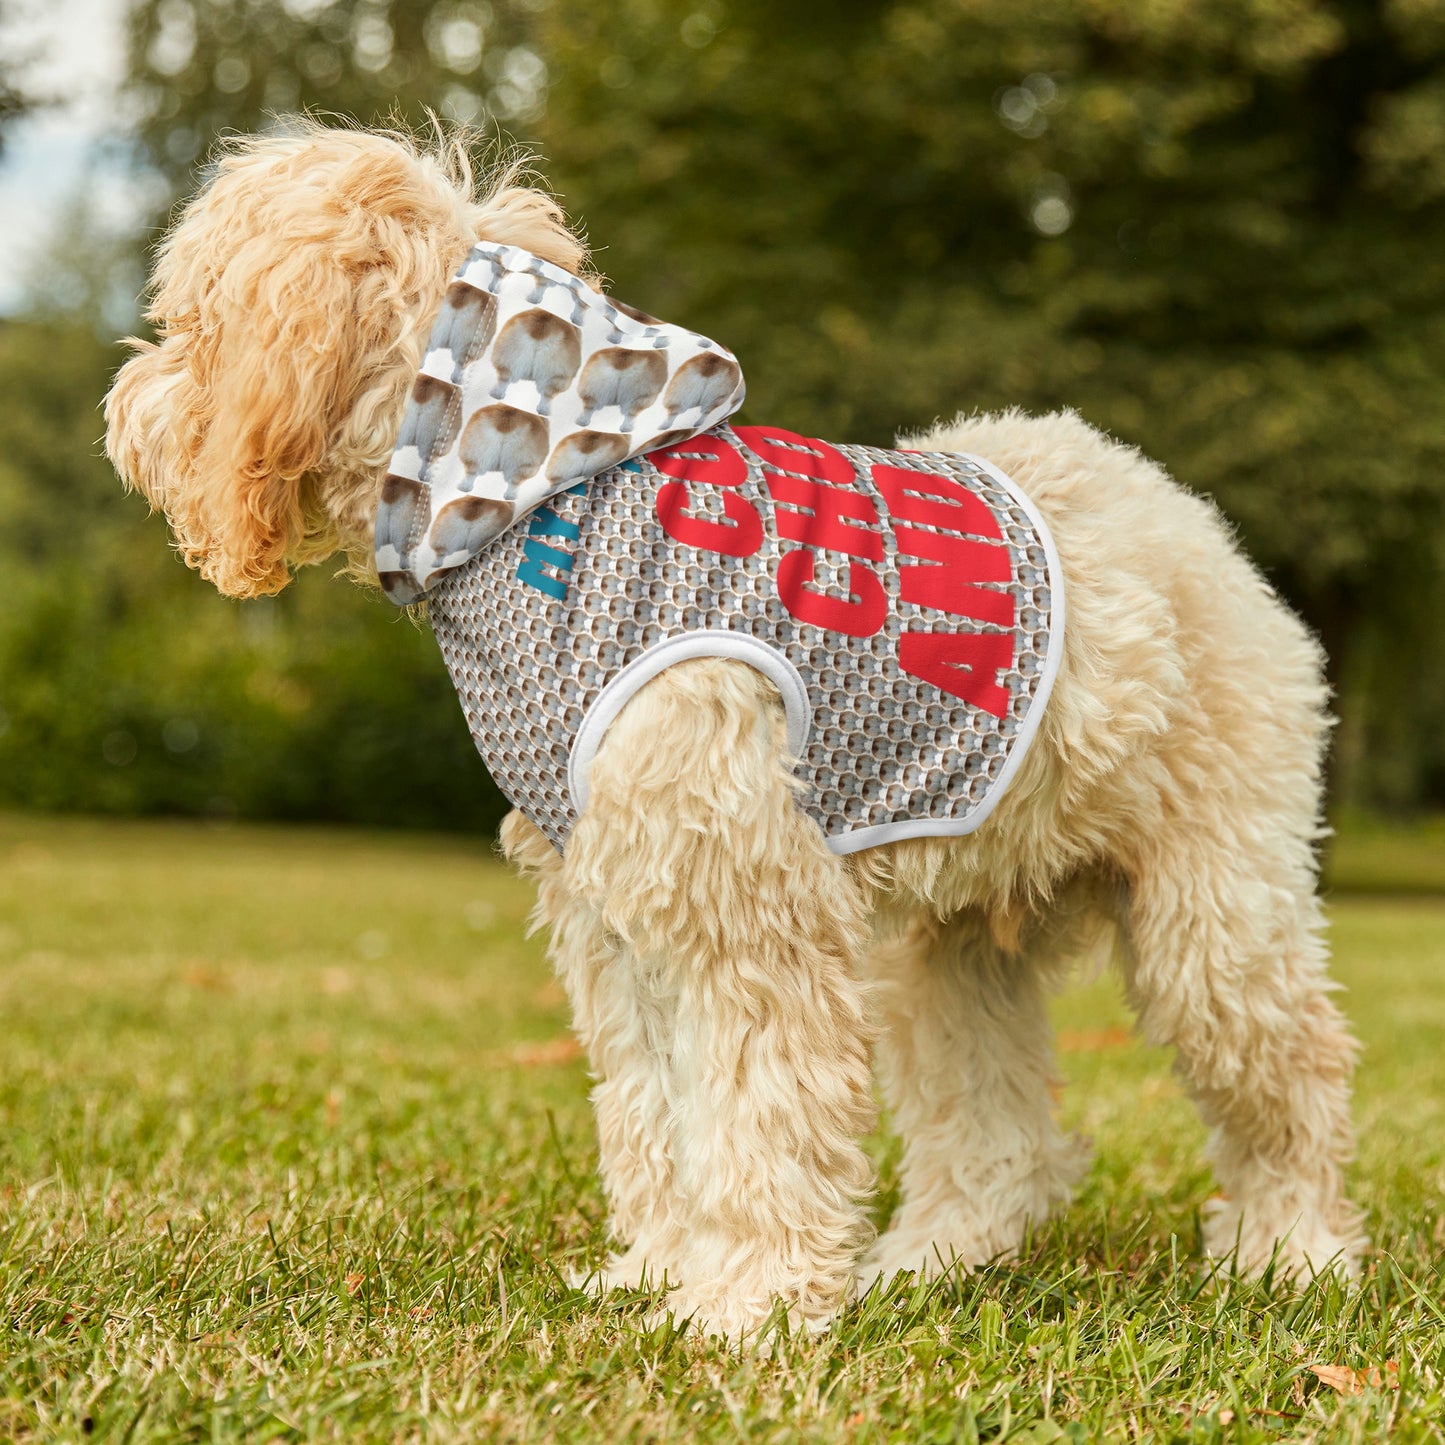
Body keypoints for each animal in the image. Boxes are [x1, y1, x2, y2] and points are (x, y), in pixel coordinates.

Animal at [106, 124, 1358, 1340]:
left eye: (190, 323)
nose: (123, 408)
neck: (541, 494)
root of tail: (1188, 519)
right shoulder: (618, 910)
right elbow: (655, 1111)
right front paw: (660, 1273)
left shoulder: (745, 905)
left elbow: (758, 1114)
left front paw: (745, 1306)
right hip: (951, 945)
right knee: (997, 1133)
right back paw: (930, 1261)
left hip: (1212, 913)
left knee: (1293, 1073)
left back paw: (1291, 1253)